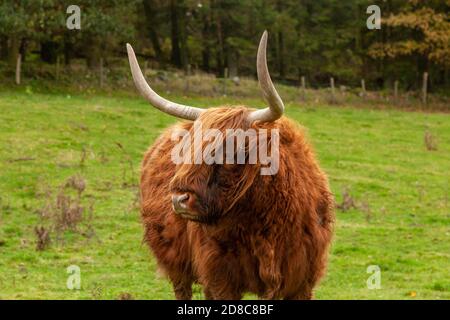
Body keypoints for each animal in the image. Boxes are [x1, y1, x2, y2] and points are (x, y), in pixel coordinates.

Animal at [126, 31, 334, 298]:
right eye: (188, 147)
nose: (179, 199)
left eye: (231, 149)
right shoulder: (220, 276)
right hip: (176, 263)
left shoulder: (303, 280)